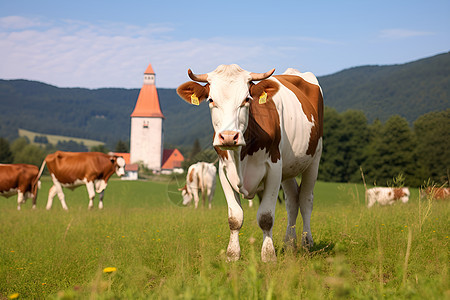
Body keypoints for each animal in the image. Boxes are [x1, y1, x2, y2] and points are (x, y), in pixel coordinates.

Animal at [177, 64, 324, 262]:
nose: (229, 136)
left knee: (306, 200)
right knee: (292, 201)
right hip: (288, 168)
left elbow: (266, 217)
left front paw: (268, 255)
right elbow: (235, 218)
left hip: (314, 159)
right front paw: (232, 254)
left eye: (247, 99)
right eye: (211, 100)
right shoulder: (224, 171)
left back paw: (307, 243)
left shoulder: (274, 168)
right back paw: (289, 244)